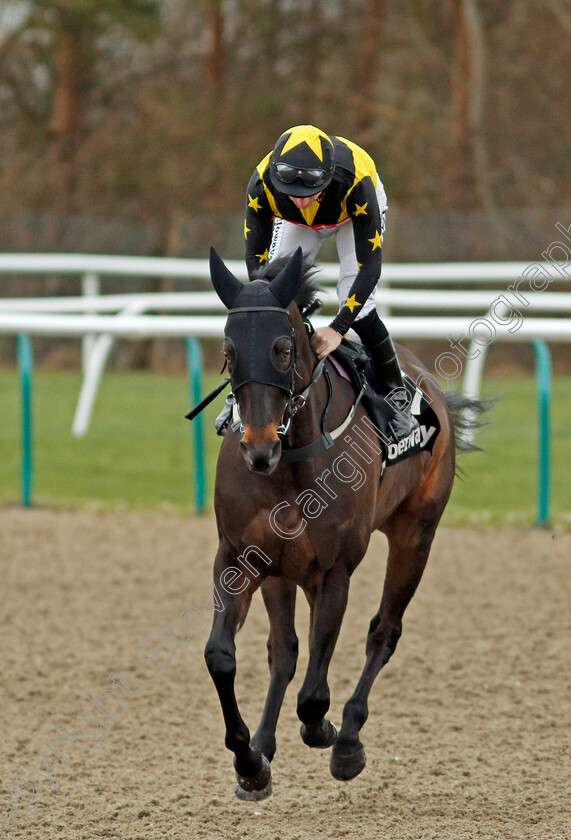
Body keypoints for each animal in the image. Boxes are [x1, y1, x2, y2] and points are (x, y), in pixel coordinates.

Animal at [203, 248, 484, 800]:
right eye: (228, 351)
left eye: (283, 350)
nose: (257, 447)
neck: (291, 460)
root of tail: (432, 388)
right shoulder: (239, 557)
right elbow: (223, 657)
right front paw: (250, 761)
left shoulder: (334, 571)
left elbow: (314, 695)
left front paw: (327, 732)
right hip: (279, 569)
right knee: (285, 650)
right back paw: (265, 745)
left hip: (415, 535)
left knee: (383, 632)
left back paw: (349, 737)